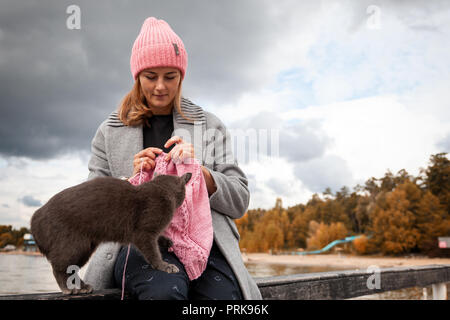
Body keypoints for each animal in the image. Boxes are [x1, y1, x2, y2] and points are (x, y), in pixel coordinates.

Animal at [29, 172, 192, 296]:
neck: (161, 188)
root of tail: (36, 217)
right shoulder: (144, 232)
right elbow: (153, 252)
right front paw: (165, 265)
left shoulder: (150, 233)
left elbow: (157, 240)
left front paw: (167, 241)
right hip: (73, 245)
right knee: (59, 267)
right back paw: (70, 288)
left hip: (86, 247)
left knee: (70, 268)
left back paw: (83, 287)